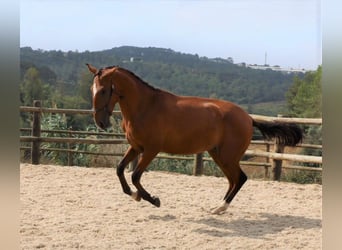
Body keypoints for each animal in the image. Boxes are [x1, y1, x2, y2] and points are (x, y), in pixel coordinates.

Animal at [85, 63, 302, 214]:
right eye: (91, 90)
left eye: (103, 90)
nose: (100, 122)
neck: (145, 107)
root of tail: (248, 118)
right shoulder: (136, 147)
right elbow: (120, 169)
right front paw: (134, 195)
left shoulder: (151, 150)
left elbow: (135, 176)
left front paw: (153, 199)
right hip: (218, 155)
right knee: (233, 179)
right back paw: (217, 207)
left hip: (227, 156)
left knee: (240, 178)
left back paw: (221, 207)